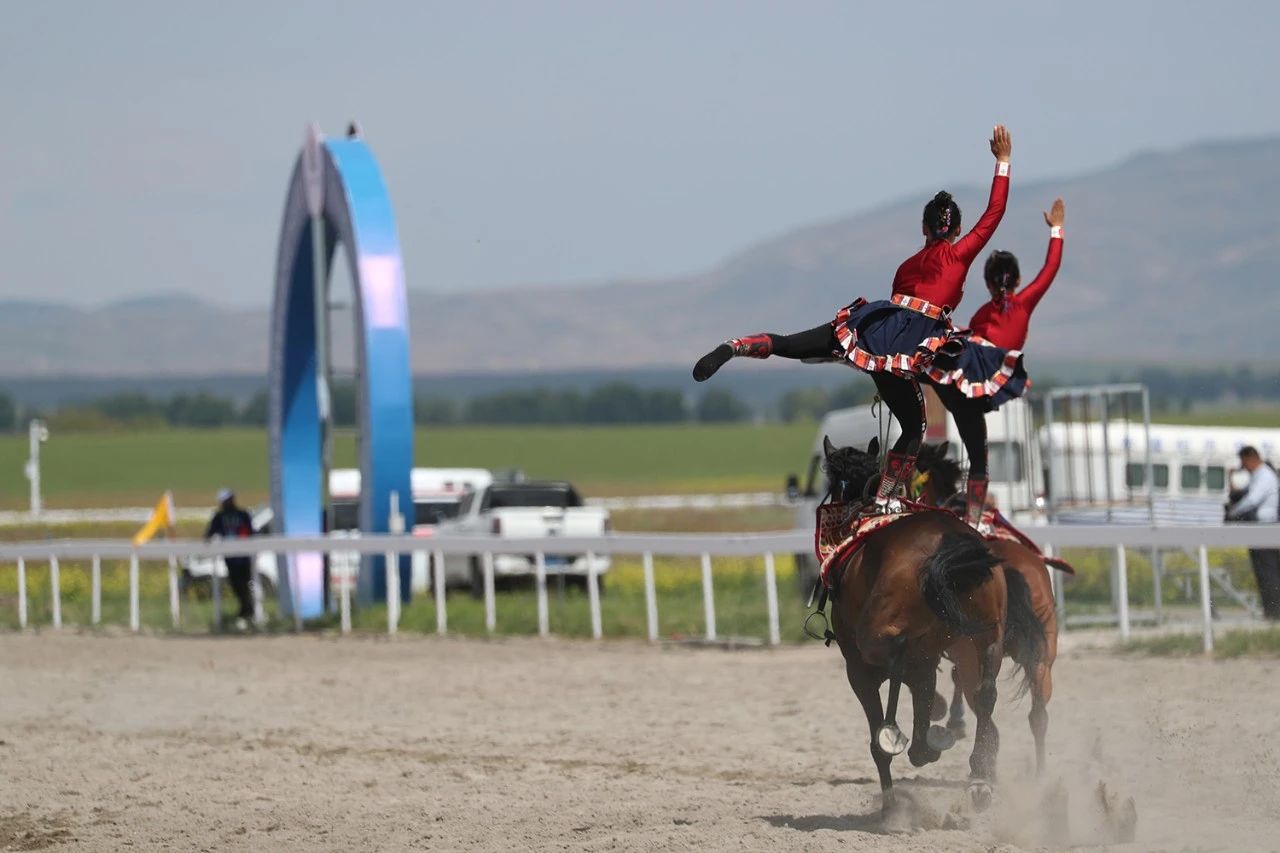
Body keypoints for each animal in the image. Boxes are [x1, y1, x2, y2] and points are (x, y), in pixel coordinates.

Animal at [819, 438, 1039, 809]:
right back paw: (977, 775)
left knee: (903, 659)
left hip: (881, 638)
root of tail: (946, 538)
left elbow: (881, 729)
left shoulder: (858, 670)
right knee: (984, 693)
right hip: (987, 637)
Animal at [921, 440, 1059, 773]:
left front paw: (950, 717)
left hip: (974, 653)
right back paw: (1040, 774)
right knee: (1037, 714)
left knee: (982, 701)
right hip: (1042, 655)